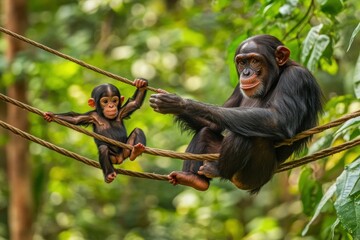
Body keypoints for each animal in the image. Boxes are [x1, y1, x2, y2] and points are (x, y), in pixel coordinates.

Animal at [149, 34, 324, 193]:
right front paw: (176, 104)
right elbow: (214, 124)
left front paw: (180, 102)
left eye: (254, 61)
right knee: (205, 132)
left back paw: (217, 170)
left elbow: (278, 120)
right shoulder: (237, 89)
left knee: (246, 133)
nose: (246, 73)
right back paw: (192, 178)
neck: (275, 77)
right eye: (241, 62)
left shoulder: (296, 78)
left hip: (254, 175)